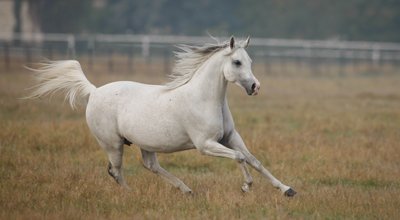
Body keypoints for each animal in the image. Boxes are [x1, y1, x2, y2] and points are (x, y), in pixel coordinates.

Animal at [28, 37, 296, 197]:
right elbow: (240, 158)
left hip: (145, 144)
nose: (255, 87)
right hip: (113, 144)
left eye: (250, 60)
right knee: (116, 171)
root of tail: (93, 91)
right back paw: (131, 195)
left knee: (150, 166)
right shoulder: (206, 145)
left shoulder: (230, 137)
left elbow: (254, 160)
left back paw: (187, 190)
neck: (205, 99)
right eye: (238, 62)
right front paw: (246, 186)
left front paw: (287, 189)